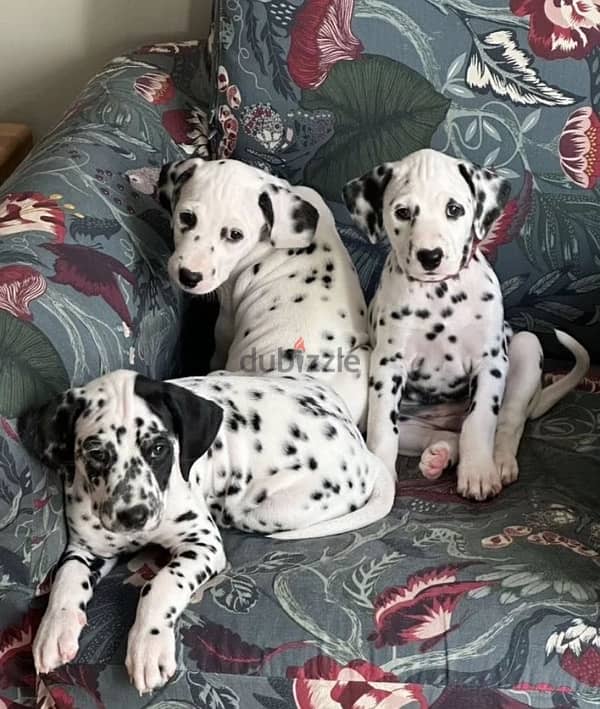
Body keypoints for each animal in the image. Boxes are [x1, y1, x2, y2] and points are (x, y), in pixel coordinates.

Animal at [17, 368, 394, 696]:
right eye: (96, 453)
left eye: (158, 448)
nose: (134, 516)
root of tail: (361, 446)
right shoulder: (88, 549)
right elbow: (66, 578)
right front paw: (54, 627)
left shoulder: (203, 544)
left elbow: (160, 585)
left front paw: (148, 643)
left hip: (253, 509)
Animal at [344, 149, 588, 500]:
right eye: (402, 212)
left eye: (454, 209)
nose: (430, 256)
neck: (439, 295)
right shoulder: (388, 365)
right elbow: (382, 429)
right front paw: (384, 477)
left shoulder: (489, 362)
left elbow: (481, 420)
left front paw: (478, 473)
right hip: (415, 423)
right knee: (437, 437)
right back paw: (439, 455)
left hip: (526, 348)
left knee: (508, 422)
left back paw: (499, 462)